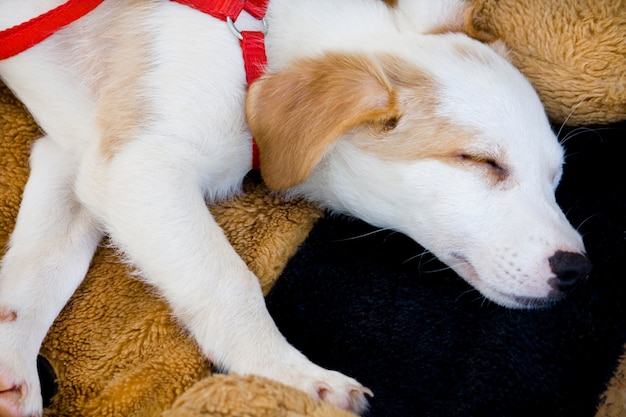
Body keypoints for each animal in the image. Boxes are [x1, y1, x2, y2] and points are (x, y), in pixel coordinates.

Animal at [0, 0, 588, 412]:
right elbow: (226, 281)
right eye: (480, 161)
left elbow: (42, 269)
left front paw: (11, 370)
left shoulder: (75, 155)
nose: (576, 271)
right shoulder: (136, 167)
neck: (254, 50)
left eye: (556, 177)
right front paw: (290, 378)